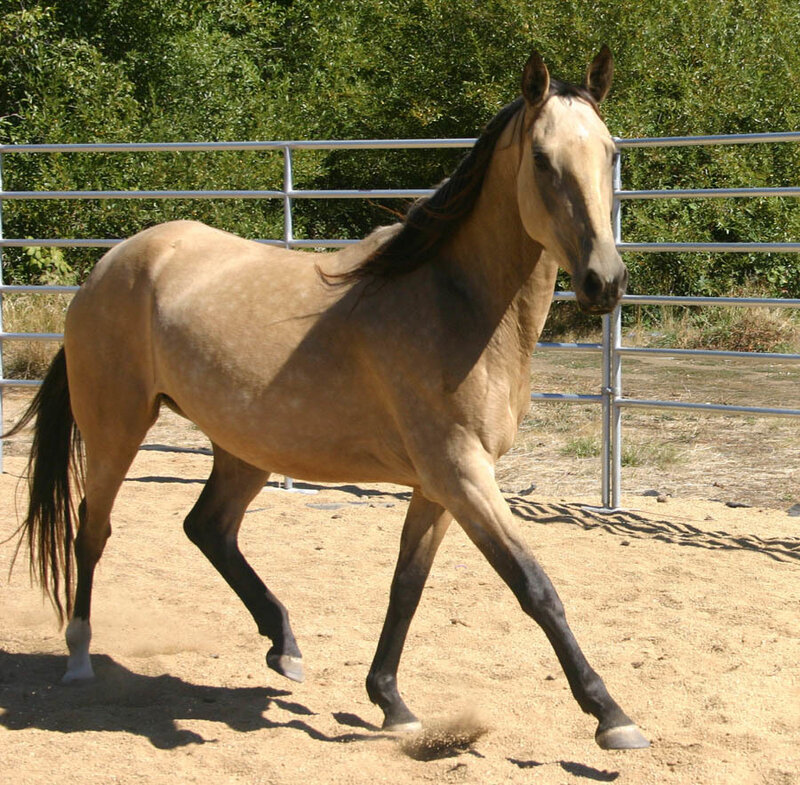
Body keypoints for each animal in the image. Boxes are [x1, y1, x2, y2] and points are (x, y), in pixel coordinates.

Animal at [6, 48, 647, 750]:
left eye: (610, 152)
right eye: (540, 159)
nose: (605, 282)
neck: (454, 304)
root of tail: (107, 267)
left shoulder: (439, 484)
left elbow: (406, 585)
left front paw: (391, 702)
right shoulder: (462, 473)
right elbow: (534, 586)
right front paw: (612, 716)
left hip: (244, 446)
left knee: (208, 528)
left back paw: (284, 646)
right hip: (116, 428)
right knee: (92, 530)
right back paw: (79, 657)